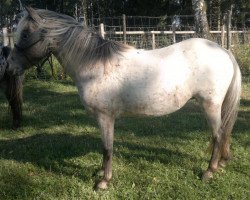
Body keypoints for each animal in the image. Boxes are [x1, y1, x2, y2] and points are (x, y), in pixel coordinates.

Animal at [6, 7, 241, 189]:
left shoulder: (105, 117)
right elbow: (105, 146)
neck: (95, 66)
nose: (9, 67)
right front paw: (100, 173)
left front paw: (104, 182)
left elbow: (107, 148)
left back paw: (209, 171)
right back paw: (220, 163)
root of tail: (223, 50)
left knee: (218, 135)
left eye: (25, 34)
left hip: (211, 105)